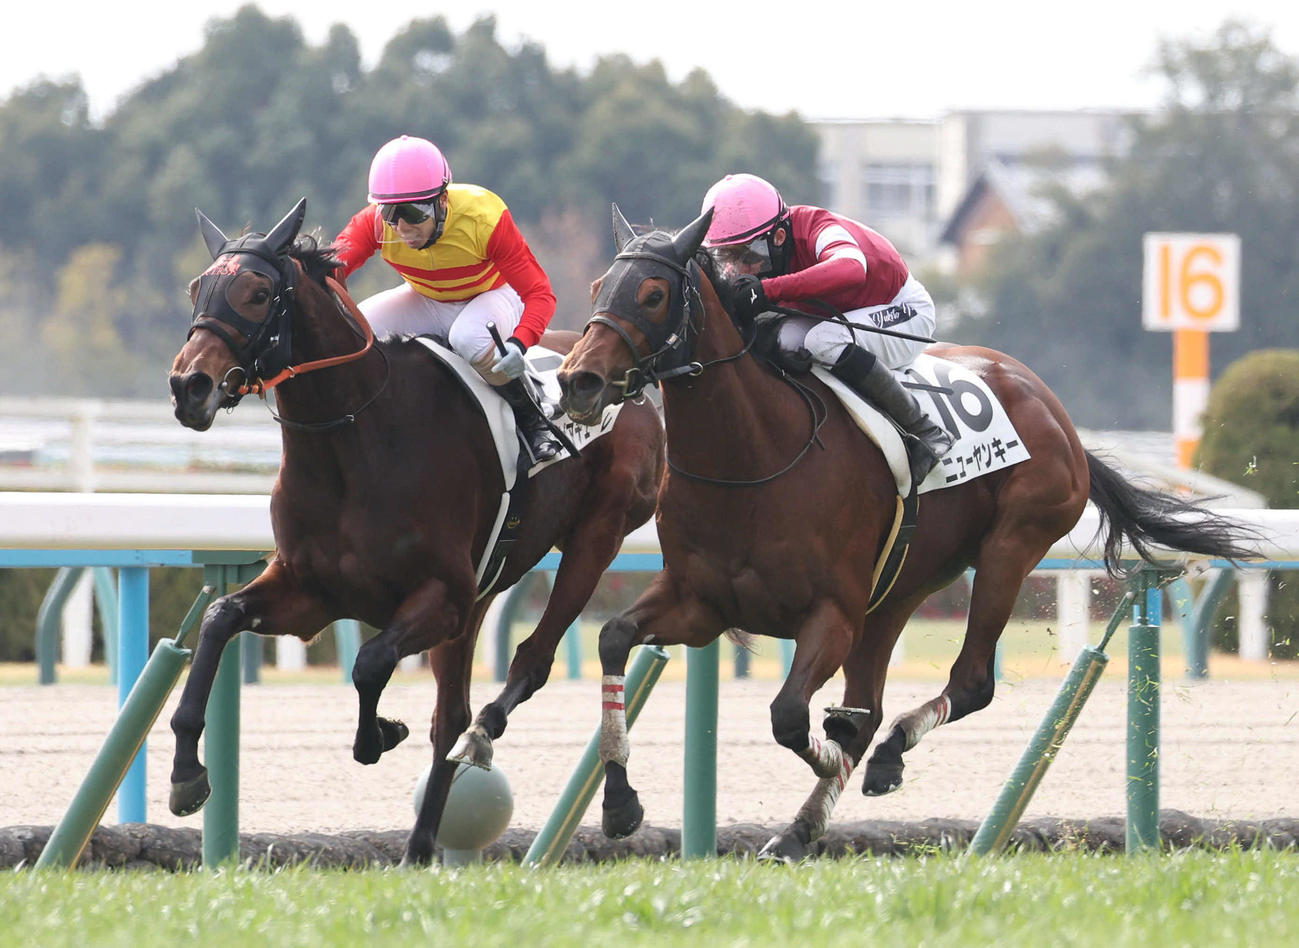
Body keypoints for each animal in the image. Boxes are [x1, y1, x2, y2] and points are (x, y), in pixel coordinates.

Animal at [167, 199, 665, 865]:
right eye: (199, 288)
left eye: (258, 291)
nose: (188, 386)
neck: (355, 440)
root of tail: (630, 384)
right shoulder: (311, 592)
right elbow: (220, 618)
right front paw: (186, 774)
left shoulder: (440, 596)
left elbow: (370, 662)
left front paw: (379, 733)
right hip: (484, 591)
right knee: (451, 715)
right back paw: (422, 843)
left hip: (596, 537)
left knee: (527, 665)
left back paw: (589, 791)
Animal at [556, 205, 1256, 861]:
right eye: (595, 288)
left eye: (653, 294)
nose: (576, 380)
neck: (753, 456)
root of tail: (1054, 411)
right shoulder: (701, 603)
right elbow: (615, 640)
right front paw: (619, 804)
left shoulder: (831, 613)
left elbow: (791, 718)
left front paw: (834, 752)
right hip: (898, 589)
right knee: (878, 699)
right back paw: (800, 828)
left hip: (1009, 547)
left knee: (966, 684)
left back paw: (881, 759)